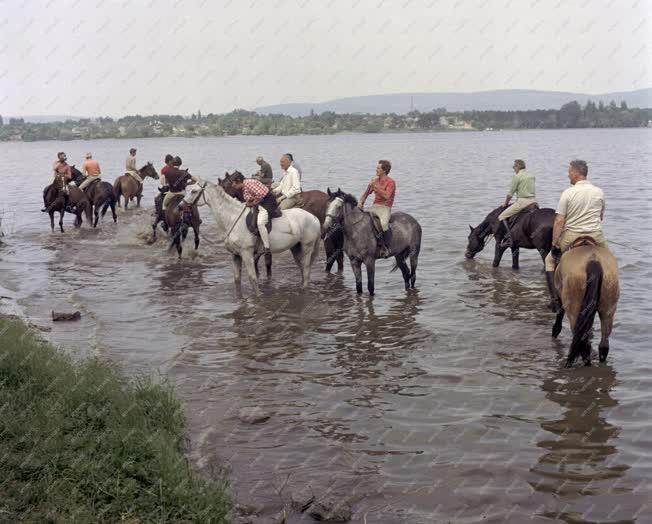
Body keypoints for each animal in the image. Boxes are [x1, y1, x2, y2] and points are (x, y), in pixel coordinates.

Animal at [187, 178, 322, 294]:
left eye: (193, 191)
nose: (183, 206)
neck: (233, 219)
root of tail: (314, 218)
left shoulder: (247, 254)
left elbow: (253, 279)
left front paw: (258, 296)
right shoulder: (235, 255)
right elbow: (237, 279)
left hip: (307, 247)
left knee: (306, 269)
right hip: (295, 247)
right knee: (302, 268)